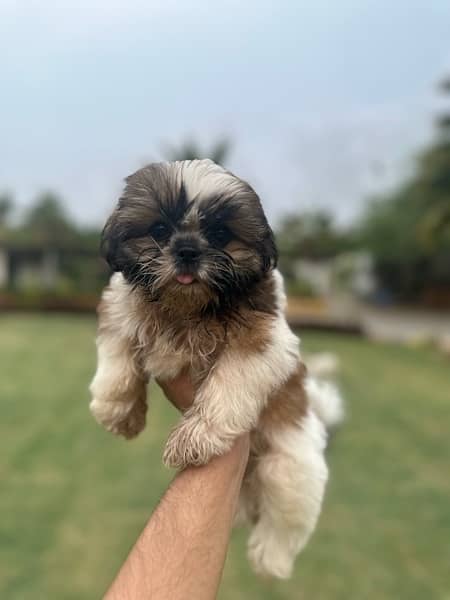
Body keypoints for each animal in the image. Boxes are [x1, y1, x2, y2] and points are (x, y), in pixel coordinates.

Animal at [91, 158, 344, 576]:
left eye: (221, 234)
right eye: (159, 230)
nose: (188, 250)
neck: (187, 306)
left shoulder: (265, 340)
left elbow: (230, 381)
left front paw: (197, 436)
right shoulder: (121, 303)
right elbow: (118, 347)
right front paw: (119, 408)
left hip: (292, 465)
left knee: (288, 513)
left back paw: (272, 558)